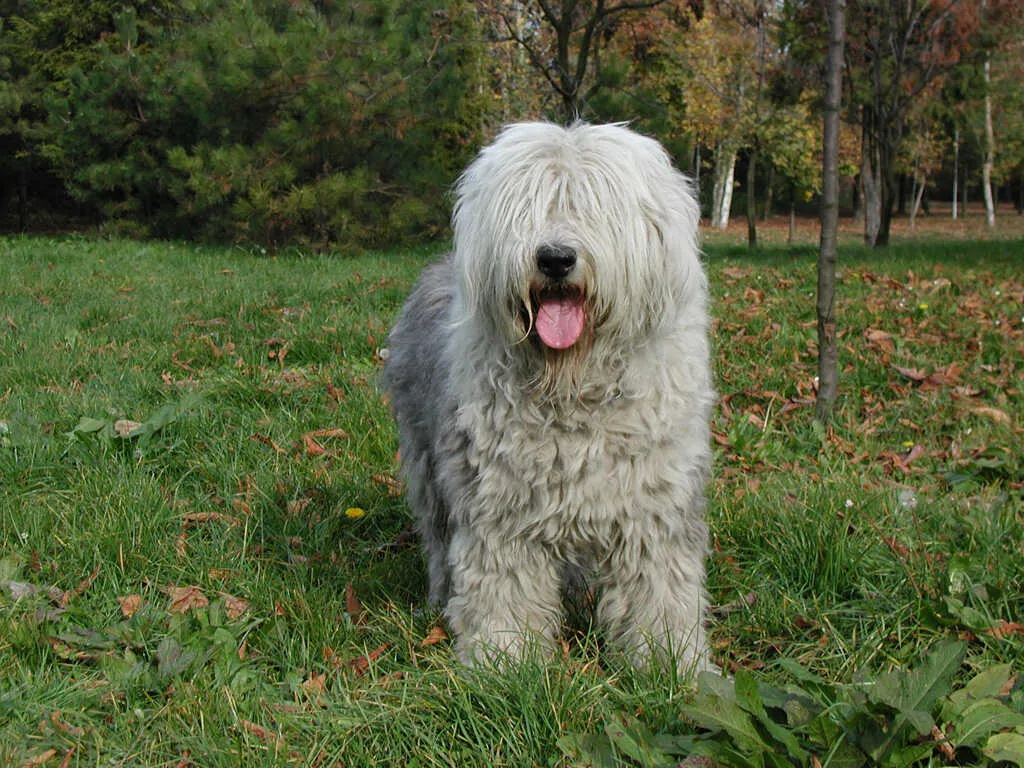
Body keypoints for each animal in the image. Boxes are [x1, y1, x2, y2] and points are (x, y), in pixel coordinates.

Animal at [382, 121, 712, 671]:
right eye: (527, 206)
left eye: (595, 204)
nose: (556, 258)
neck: (573, 386)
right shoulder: (500, 505)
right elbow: (504, 587)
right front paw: (505, 662)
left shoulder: (652, 506)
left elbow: (659, 589)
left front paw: (672, 662)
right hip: (429, 461)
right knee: (439, 538)